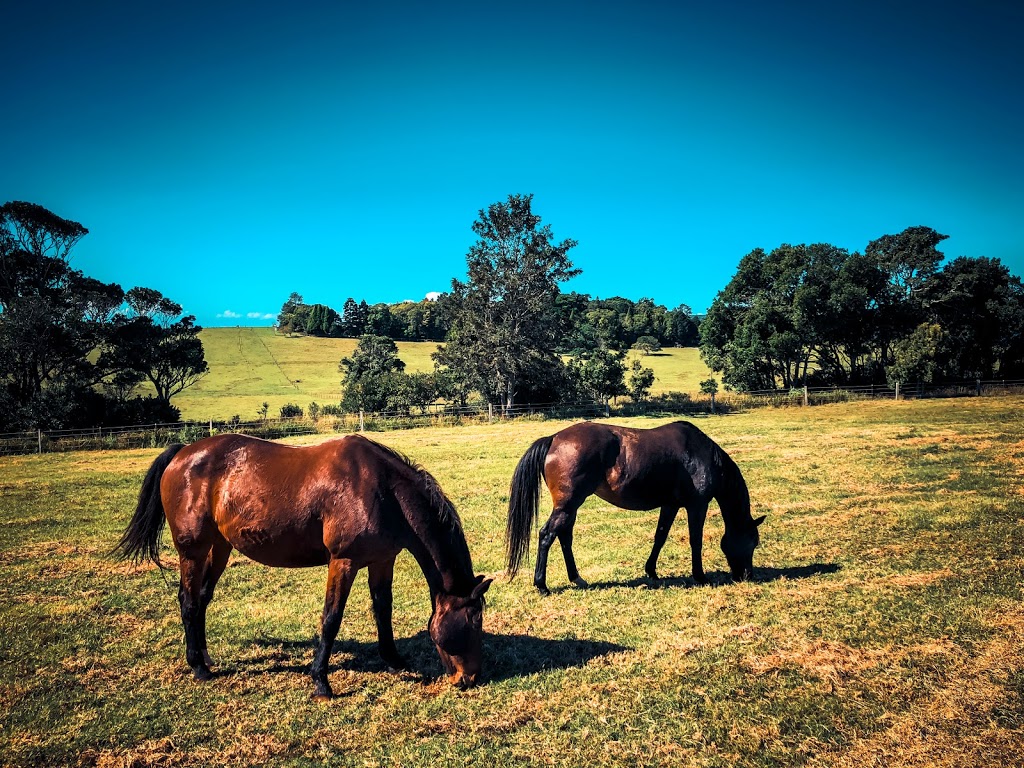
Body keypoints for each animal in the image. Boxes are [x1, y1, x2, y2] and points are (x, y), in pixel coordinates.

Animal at [116, 436, 491, 700]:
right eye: (475, 620)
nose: (470, 678)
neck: (383, 490)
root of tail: (182, 454)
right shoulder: (343, 561)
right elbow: (331, 619)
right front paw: (321, 682)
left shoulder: (383, 559)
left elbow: (382, 609)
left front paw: (394, 659)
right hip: (192, 551)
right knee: (189, 601)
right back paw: (197, 666)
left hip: (219, 548)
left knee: (203, 599)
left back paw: (206, 659)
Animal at [507, 421, 765, 593]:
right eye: (753, 541)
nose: (747, 575)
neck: (702, 454)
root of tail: (554, 438)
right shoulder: (697, 506)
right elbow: (696, 540)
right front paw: (700, 577)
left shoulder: (670, 505)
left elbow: (660, 536)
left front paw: (651, 571)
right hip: (568, 505)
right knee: (547, 535)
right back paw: (541, 585)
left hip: (570, 506)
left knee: (564, 537)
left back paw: (577, 578)